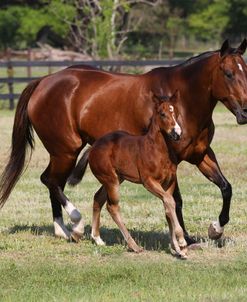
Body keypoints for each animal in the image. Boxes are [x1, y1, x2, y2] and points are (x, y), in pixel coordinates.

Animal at [79, 91, 187, 258]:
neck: (158, 150)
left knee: (98, 198)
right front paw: (181, 242)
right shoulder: (149, 181)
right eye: (162, 114)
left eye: (175, 112)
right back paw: (134, 245)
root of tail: (94, 147)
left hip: (115, 179)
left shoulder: (169, 183)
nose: (177, 133)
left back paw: (97, 239)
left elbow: (168, 208)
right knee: (112, 206)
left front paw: (178, 249)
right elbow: (170, 202)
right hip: (111, 181)